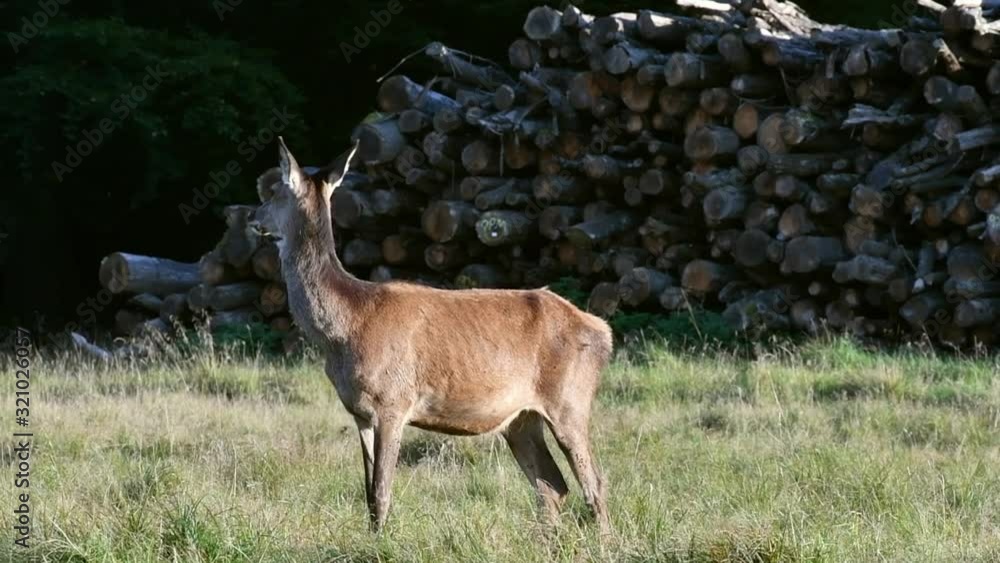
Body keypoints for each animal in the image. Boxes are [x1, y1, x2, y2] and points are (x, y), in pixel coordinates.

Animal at [252, 138, 613, 533]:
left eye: (273, 191)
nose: (249, 218)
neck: (347, 325)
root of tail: (603, 332)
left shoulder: (393, 401)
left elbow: (382, 492)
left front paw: (381, 540)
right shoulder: (359, 412)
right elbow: (367, 494)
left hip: (570, 400)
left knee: (594, 483)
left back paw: (605, 541)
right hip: (521, 419)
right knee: (552, 486)